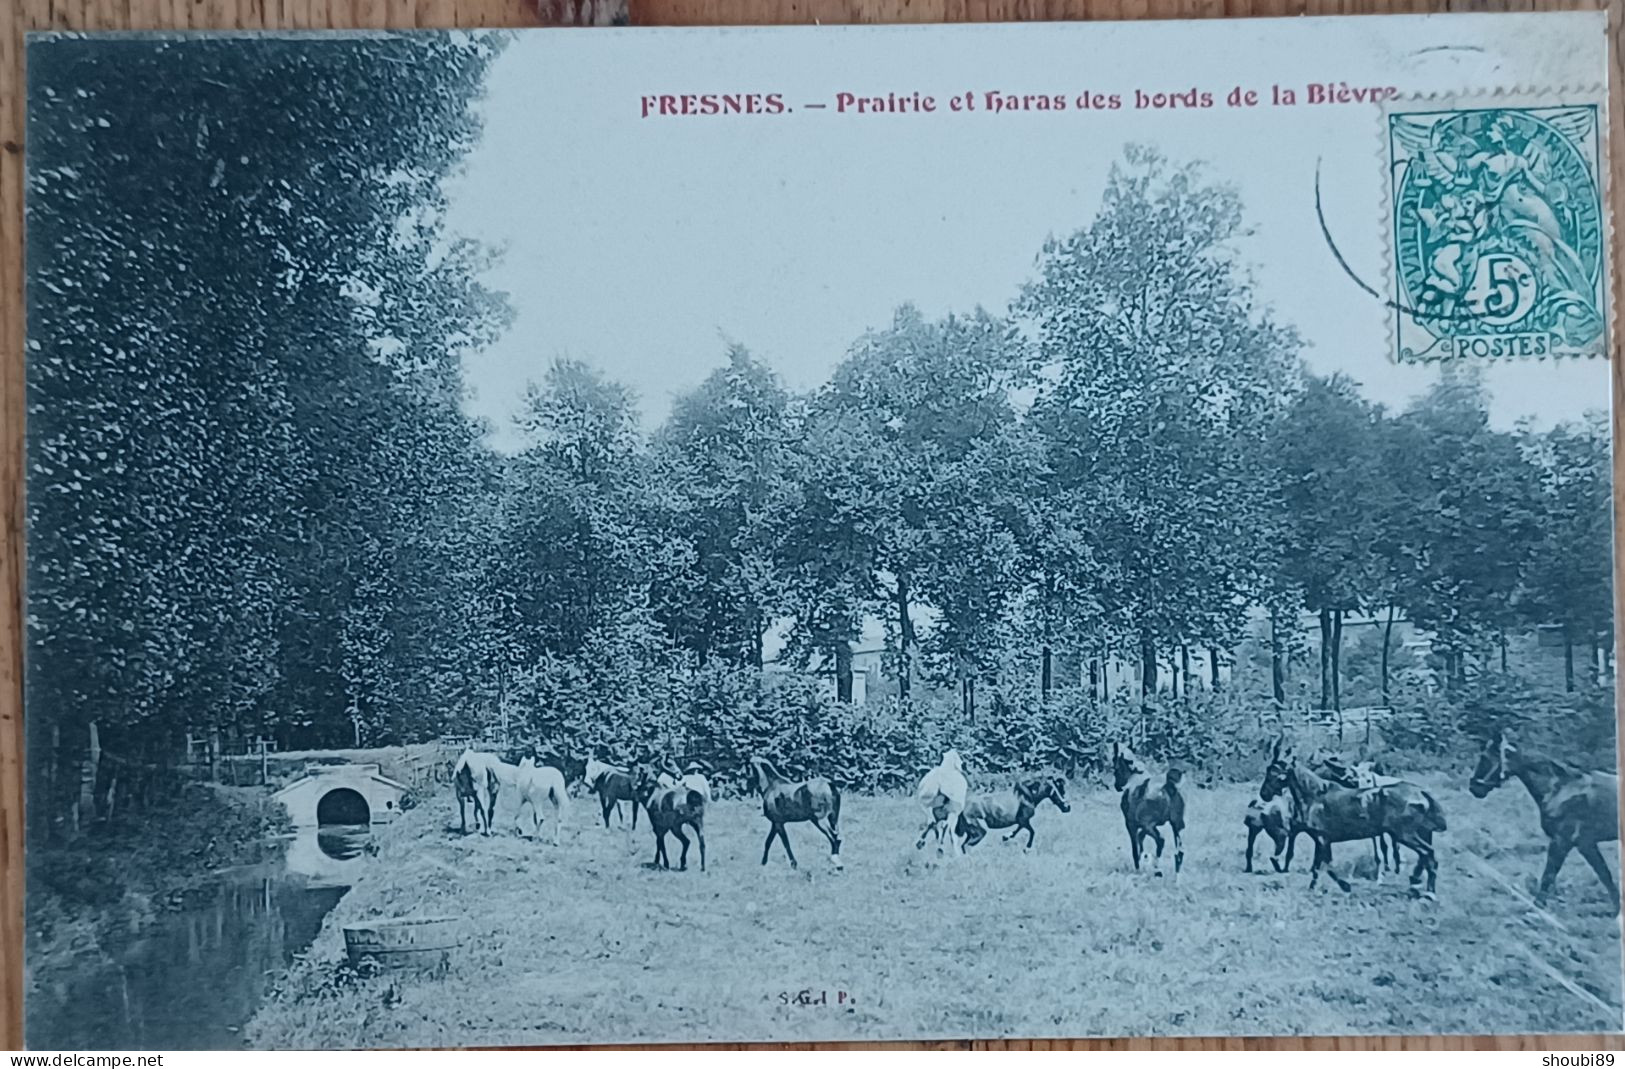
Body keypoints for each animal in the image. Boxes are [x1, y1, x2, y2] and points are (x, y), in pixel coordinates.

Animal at [1111, 740, 1189, 877]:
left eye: (1114, 766)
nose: (1117, 786)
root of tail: (1167, 788)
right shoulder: (1145, 826)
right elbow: (1140, 840)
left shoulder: (1132, 824)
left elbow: (1135, 849)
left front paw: (1138, 869)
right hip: (1177, 824)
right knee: (1179, 851)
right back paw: (1176, 875)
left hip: (1150, 825)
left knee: (1161, 840)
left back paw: (1156, 868)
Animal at [1254, 740, 1449, 896]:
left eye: (1273, 772)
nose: (1263, 793)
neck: (1315, 795)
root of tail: (1421, 792)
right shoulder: (1323, 839)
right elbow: (1320, 866)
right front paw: (1316, 887)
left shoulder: (1322, 838)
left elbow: (1326, 866)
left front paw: (1344, 886)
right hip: (1419, 832)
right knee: (1427, 856)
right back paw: (1418, 884)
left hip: (1405, 834)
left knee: (1428, 854)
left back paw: (1426, 890)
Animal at [1469, 724, 1618, 909]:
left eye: (1485, 757)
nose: (1474, 787)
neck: (1561, 789)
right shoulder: (1585, 844)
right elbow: (1605, 876)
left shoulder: (1563, 842)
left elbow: (1548, 877)